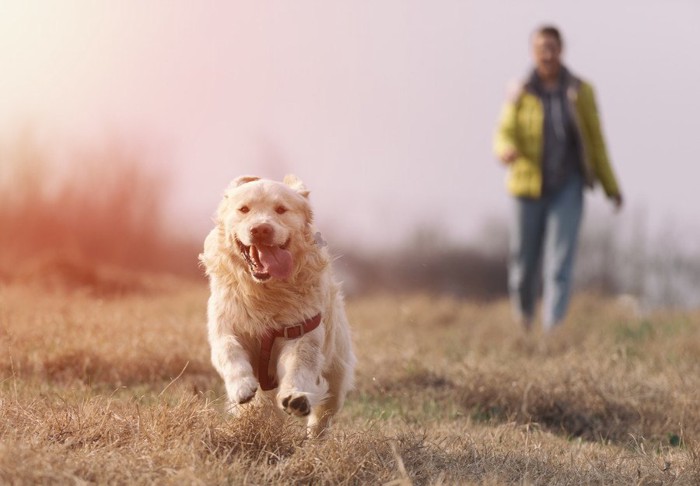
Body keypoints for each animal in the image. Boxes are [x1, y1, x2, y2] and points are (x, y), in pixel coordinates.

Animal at [201, 176, 356, 436]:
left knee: (325, 411)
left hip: (337, 368)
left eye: (281, 209)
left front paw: (296, 397)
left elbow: (298, 365)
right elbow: (229, 350)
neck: (265, 291)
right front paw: (242, 386)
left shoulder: (299, 332)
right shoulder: (225, 326)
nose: (261, 229)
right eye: (244, 209)